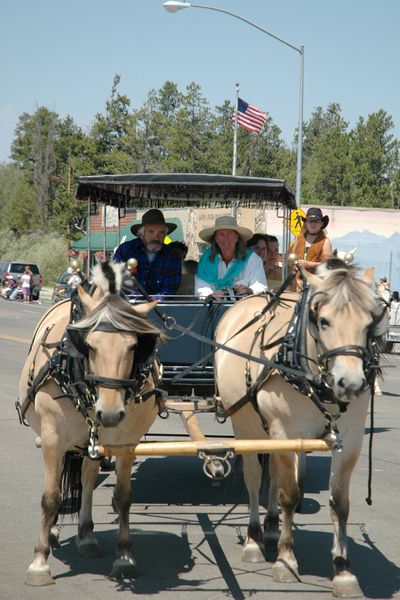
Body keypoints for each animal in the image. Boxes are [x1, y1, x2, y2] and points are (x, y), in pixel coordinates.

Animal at [17, 262, 164, 584]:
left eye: (133, 346)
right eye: (89, 346)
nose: (108, 413)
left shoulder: (124, 443)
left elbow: (123, 497)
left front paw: (124, 557)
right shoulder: (53, 439)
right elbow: (50, 497)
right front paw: (39, 562)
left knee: (86, 478)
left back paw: (86, 536)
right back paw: (54, 532)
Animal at [214, 260, 390, 596]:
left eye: (369, 321)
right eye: (323, 321)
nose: (350, 383)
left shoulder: (349, 440)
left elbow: (339, 503)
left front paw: (343, 570)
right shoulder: (285, 432)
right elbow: (290, 494)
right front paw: (285, 561)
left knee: (273, 475)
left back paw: (271, 529)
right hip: (245, 423)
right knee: (255, 478)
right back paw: (255, 538)